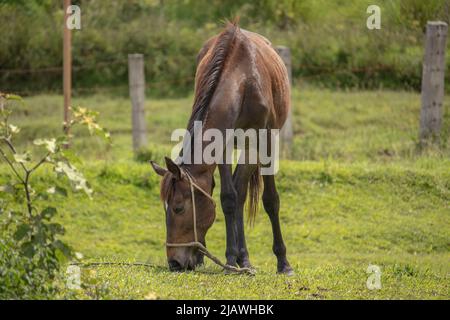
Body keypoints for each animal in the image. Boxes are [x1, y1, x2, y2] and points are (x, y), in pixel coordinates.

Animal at [149, 20, 294, 276]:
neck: (242, 80)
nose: (174, 263)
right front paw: (229, 259)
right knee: (238, 194)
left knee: (244, 192)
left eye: (178, 208)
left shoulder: (264, 142)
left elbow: (270, 200)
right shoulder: (222, 145)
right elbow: (228, 198)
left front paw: (283, 262)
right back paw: (239, 259)